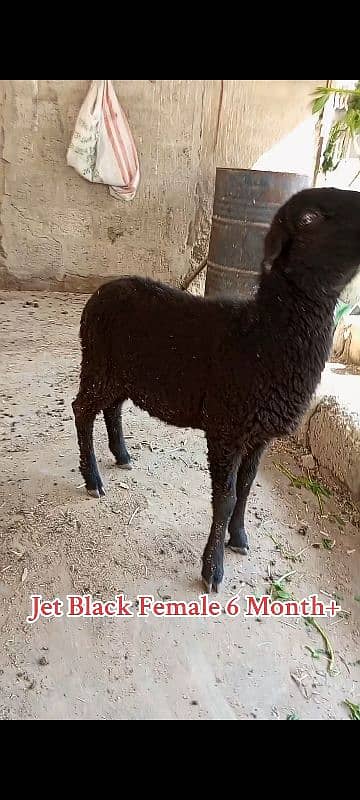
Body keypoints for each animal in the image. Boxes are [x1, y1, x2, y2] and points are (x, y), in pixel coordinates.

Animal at [72, 186, 360, 588]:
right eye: (309, 218)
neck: (262, 336)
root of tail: (102, 290)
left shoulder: (259, 434)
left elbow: (246, 488)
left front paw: (238, 538)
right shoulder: (227, 429)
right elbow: (225, 498)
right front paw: (213, 567)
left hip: (122, 374)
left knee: (112, 409)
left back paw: (122, 455)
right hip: (99, 365)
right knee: (82, 410)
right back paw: (93, 478)